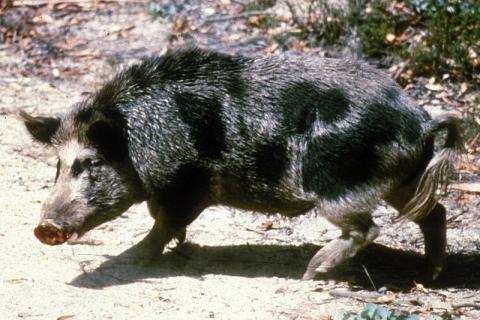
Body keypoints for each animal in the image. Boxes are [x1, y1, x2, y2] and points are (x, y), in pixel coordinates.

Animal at [21, 47, 462, 280]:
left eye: (90, 163)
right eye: (57, 166)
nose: (44, 227)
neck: (142, 138)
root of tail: (422, 120)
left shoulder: (188, 184)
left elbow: (163, 222)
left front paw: (135, 256)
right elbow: (161, 218)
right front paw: (179, 246)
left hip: (337, 183)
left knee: (368, 229)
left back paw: (311, 272)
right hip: (401, 180)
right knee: (434, 212)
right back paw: (433, 274)